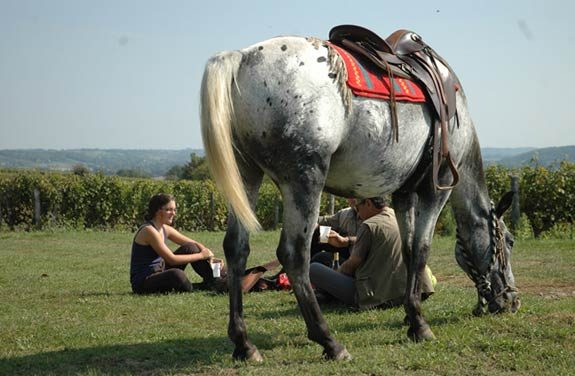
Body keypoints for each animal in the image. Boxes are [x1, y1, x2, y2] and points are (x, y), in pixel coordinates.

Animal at [200, 32, 520, 362]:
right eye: (509, 242)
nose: (511, 299)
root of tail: (242, 57)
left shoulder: (404, 193)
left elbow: (407, 251)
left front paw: (411, 313)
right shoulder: (437, 187)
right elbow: (421, 250)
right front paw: (420, 326)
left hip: (245, 175)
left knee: (237, 248)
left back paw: (244, 344)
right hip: (304, 180)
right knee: (294, 254)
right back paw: (329, 341)